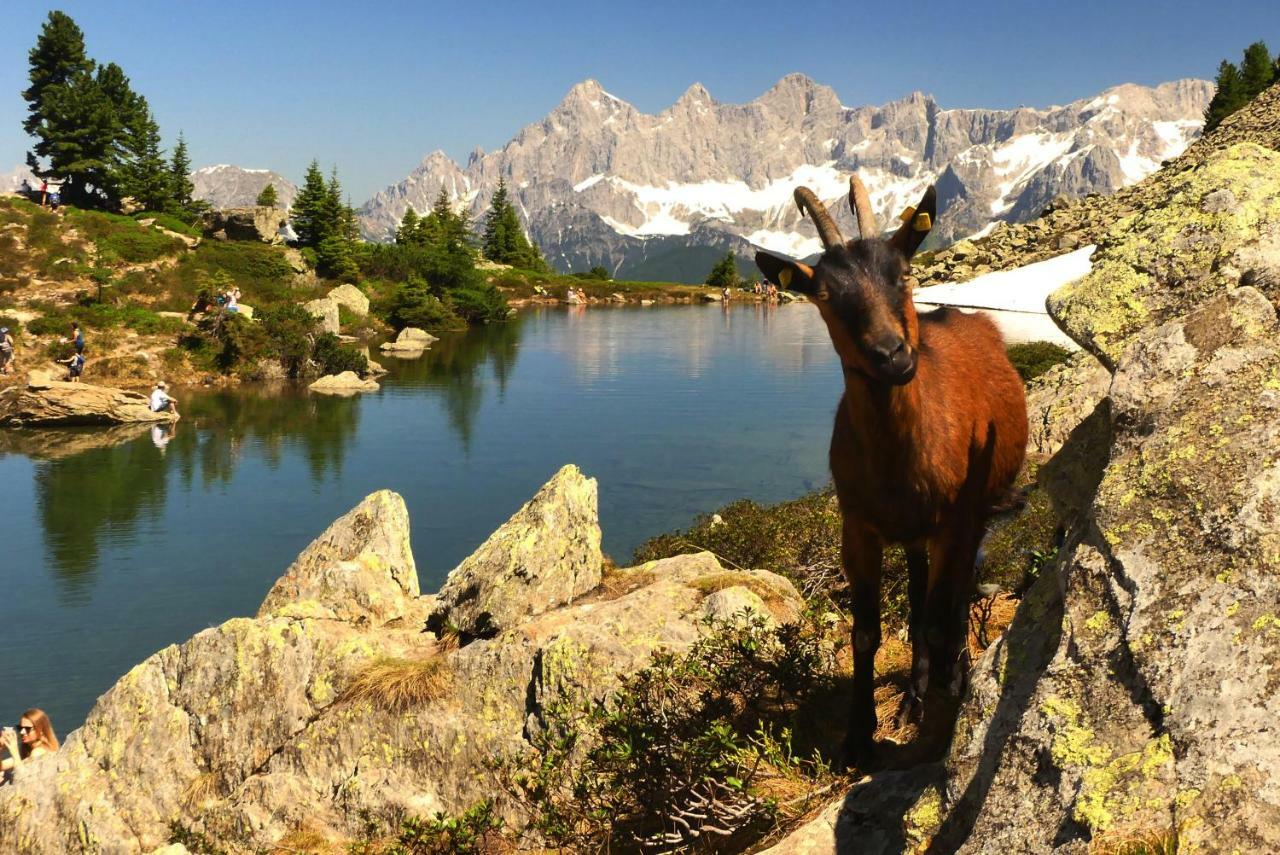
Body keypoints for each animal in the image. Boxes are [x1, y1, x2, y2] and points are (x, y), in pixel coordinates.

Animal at [752, 176, 1024, 762]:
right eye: (824, 295)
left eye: (902, 273)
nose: (892, 355)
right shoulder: (858, 526)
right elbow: (867, 632)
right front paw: (859, 734)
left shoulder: (954, 522)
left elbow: (943, 619)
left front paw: (943, 717)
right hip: (915, 533)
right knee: (921, 596)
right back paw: (914, 697)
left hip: (974, 516)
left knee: (956, 597)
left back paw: (948, 681)